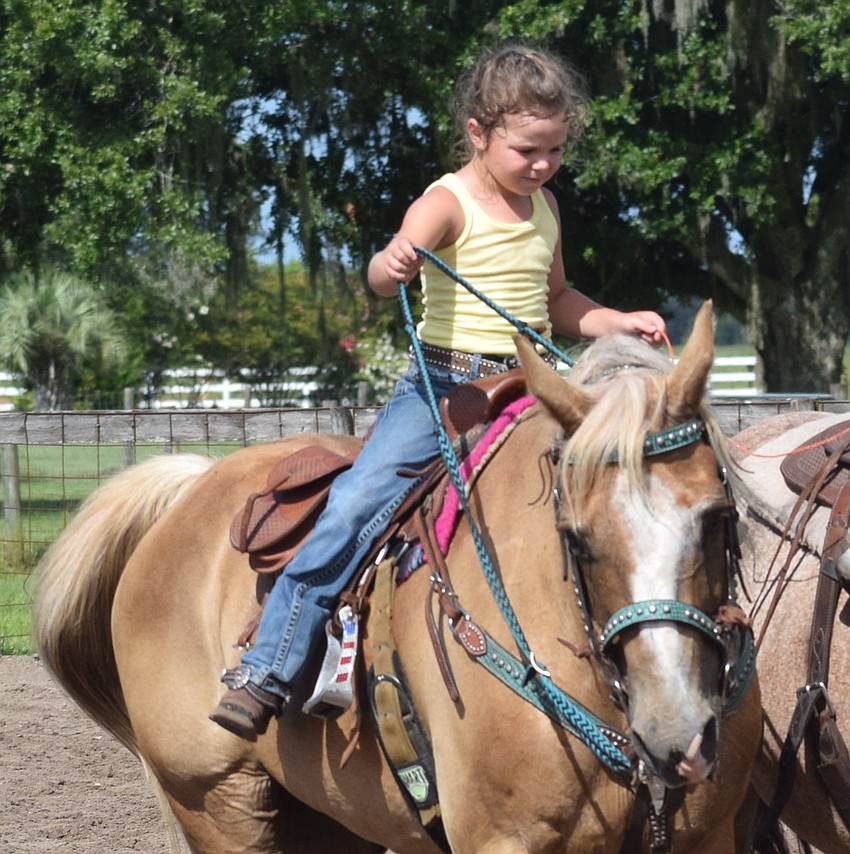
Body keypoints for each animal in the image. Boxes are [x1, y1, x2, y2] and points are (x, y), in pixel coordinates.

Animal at [32, 300, 763, 853]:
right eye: (575, 537)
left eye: (720, 516)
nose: (677, 733)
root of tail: (189, 490)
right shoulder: (503, 841)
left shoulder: (713, 836)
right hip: (216, 802)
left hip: (326, 820)